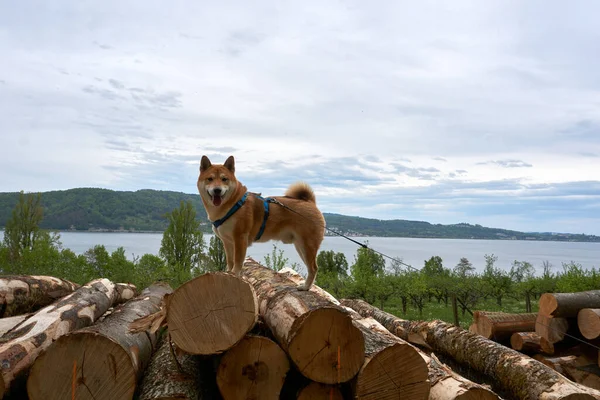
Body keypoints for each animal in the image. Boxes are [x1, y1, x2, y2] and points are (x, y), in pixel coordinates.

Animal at [198, 155, 326, 290]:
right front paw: (228, 273)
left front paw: (234, 274)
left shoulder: (240, 239)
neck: (232, 204)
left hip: (307, 246)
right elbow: (230, 261)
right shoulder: (227, 242)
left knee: (313, 268)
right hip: (300, 246)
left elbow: (238, 261)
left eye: (224, 179)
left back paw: (305, 287)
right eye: (210, 179)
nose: (217, 190)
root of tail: (310, 202)